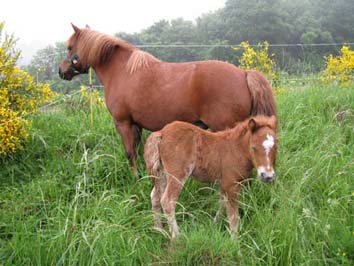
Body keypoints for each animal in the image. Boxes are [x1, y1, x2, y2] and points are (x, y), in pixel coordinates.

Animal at [58, 24, 276, 172]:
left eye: (69, 47)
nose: (61, 71)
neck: (122, 72)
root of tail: (243, 74)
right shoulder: (136, 125)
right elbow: (138, 151)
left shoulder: (123, 123)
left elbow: (130, 153)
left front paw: (134, 180)